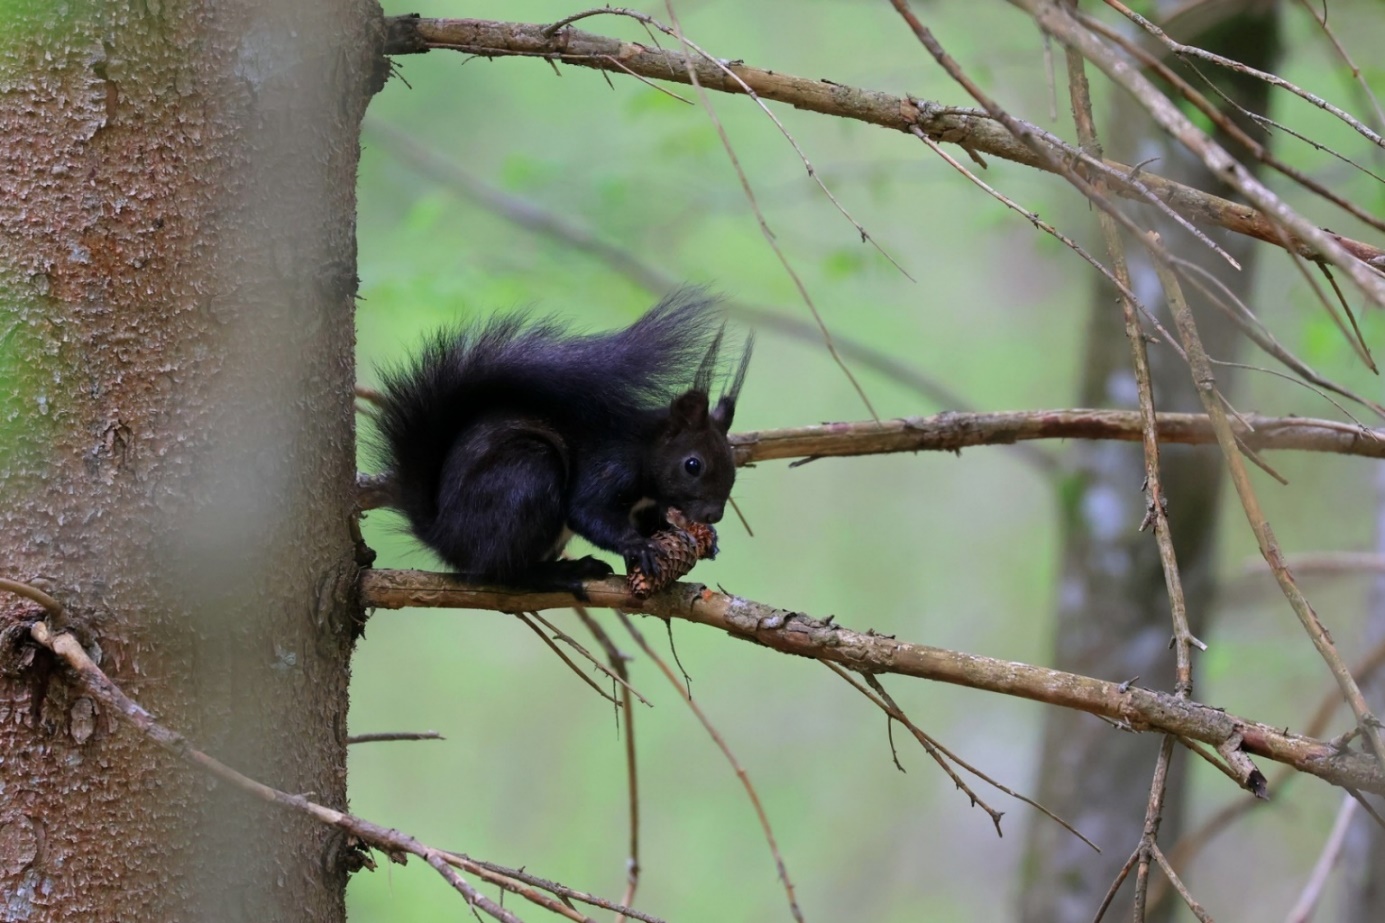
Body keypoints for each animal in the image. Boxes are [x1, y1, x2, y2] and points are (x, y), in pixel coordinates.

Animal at [373, 288, 753, 584]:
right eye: (693, 465)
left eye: (733, 466)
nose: (713, 516)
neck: (644, 450)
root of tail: (445, 539)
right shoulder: (607, 468)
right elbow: (585, 511)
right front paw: (638, 546)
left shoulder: (646, 508)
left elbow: (651, 522)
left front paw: (691, 536)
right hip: (527, 474)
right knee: (503, 573)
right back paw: (565, 573)